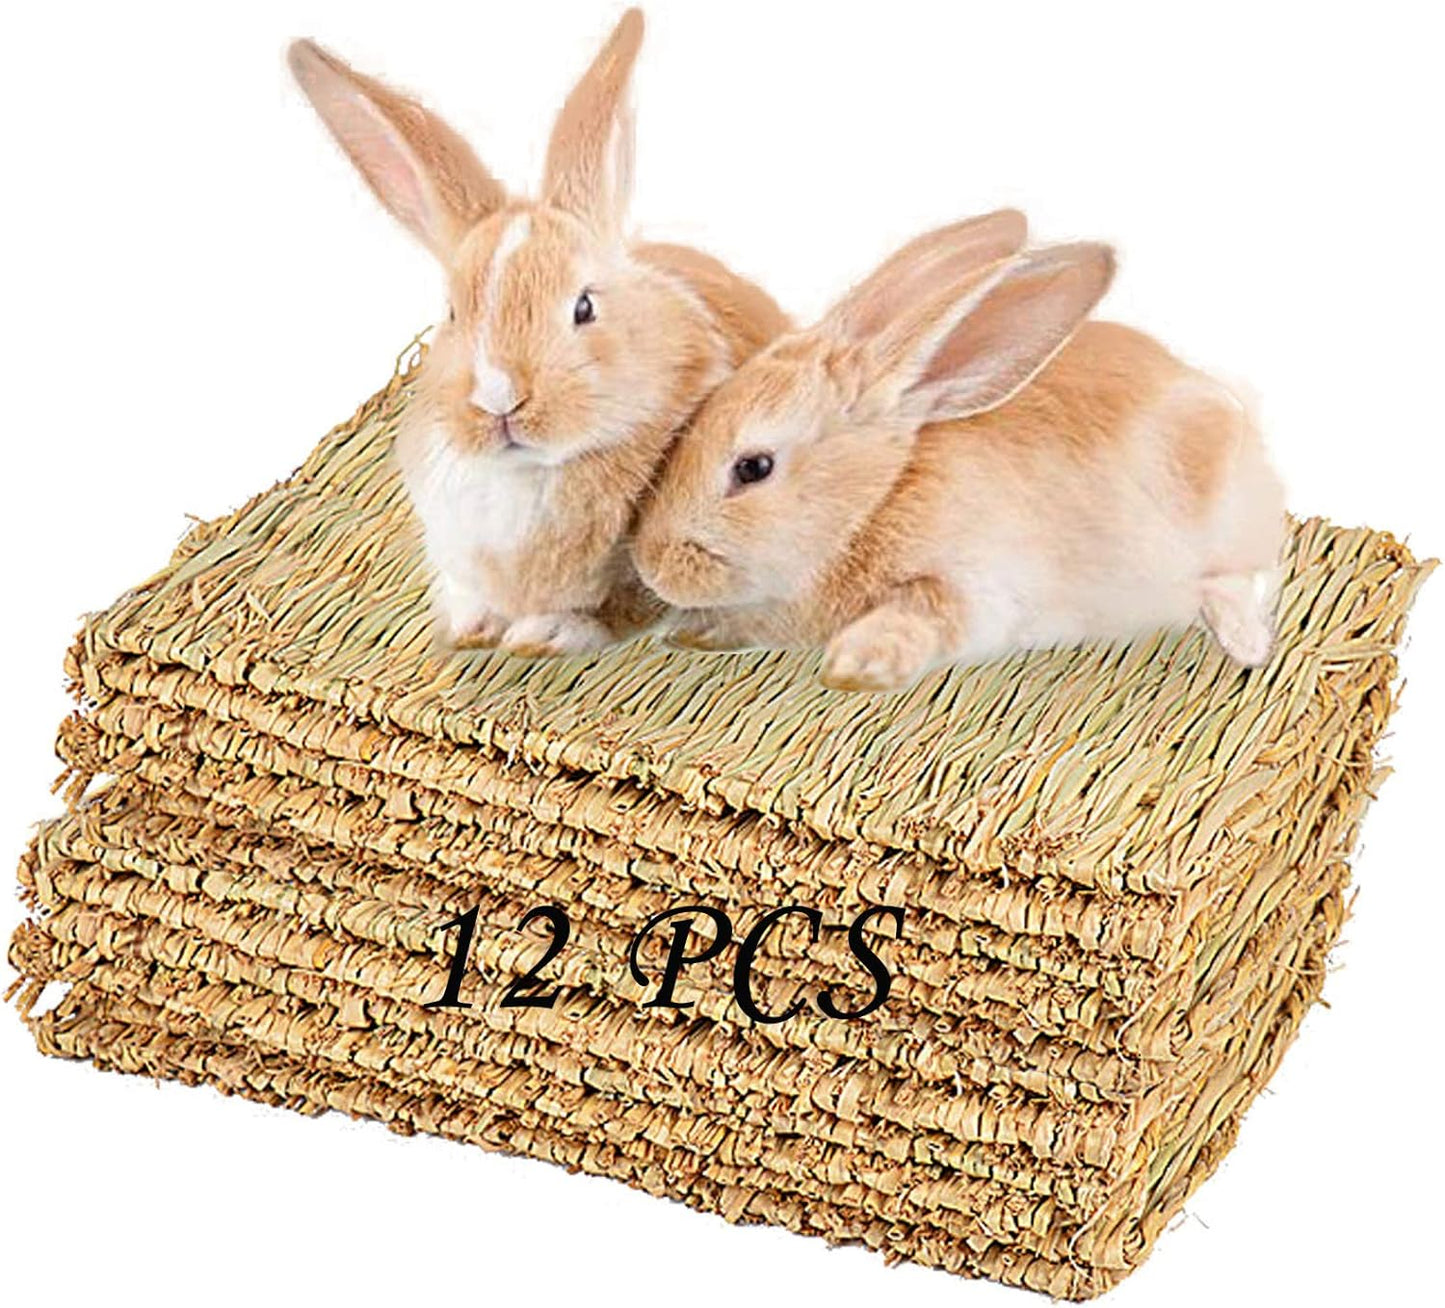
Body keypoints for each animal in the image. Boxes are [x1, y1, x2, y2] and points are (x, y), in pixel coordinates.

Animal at [289, 10, 787, 657]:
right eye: (453, 313)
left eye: (584, 307)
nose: (499, 398)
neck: (529, 475)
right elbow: (466, 592)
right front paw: (471, 629)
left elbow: (615, 612)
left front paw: (540, 634)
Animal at [631, 209, 1285, 692]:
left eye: (754, 468)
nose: (652, 566)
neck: (873, 501)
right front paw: (692, 635)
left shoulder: (975, 584)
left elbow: (923, 614)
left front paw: (856, 665)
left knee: (1230, 579)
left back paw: (1247, 644)